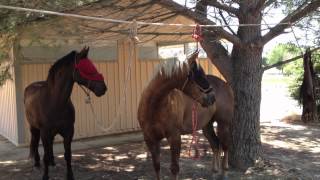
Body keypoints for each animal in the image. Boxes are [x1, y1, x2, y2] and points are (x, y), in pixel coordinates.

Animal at [24, 47, 107, 179]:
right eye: (86, 68)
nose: (103, 88)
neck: (54, 102)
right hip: (34, 128)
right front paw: (45, 176)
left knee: (50, 145)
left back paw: (52, 162)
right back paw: (37, 164)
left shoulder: (68, 132)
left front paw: (70, 176)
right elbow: (45, 156)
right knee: (35, 142)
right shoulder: (45, 133)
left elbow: (68, 155)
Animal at [138, 51, 220, 179]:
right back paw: (215, 171)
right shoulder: (150, 139)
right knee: (215, 144)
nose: (212, 98)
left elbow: (174, 168)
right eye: (199, 76)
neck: (154, 107)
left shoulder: (175, 137)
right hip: (207, 126)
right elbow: (156, 166)